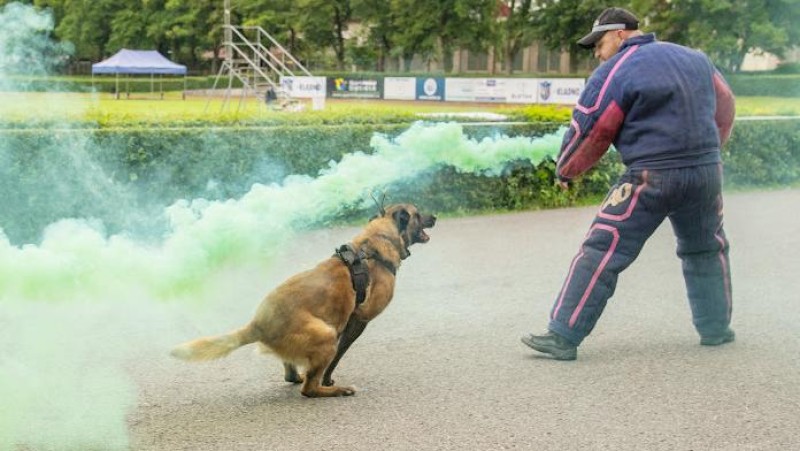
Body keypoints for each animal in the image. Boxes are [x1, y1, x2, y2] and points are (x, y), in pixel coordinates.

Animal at [170, 203, 438, 398]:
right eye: (417, 213)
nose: (435, 217)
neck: (374, 244)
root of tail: (258, 323)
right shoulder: (358, 320)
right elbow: (338, 356)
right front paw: (329, 380)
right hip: (326, 334)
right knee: (309, 389)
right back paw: (335, 390)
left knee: (292, 375)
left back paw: (299, 374)